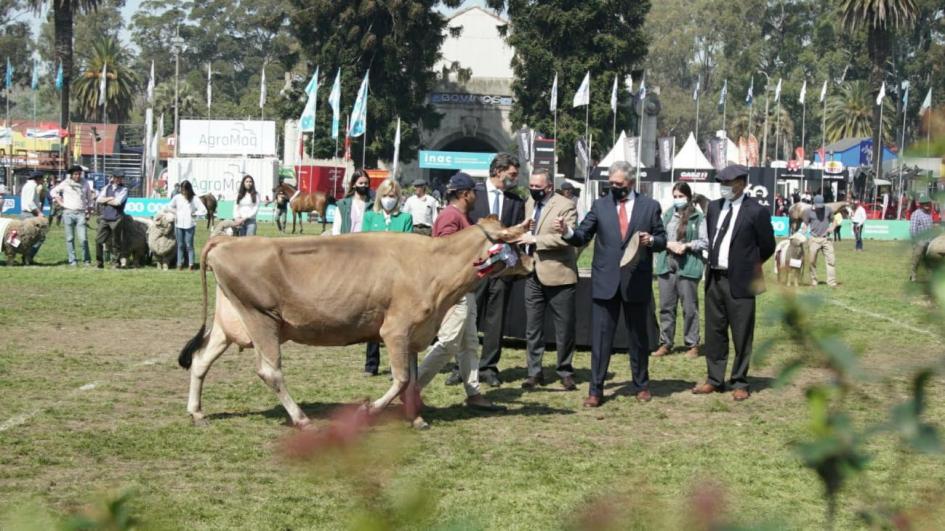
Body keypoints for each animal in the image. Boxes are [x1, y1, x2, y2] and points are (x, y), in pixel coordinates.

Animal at [177, 218, 532, 430]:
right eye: (515, 244)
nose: (531, 263)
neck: (433, 265)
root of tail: (226, 242)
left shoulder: (414, 332)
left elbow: (413, 379)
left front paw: (416, 417)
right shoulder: (395, 329)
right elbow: (402, 379)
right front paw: (369, 410)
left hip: (231, 321)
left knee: (201, 359)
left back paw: (196, 411)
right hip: (261, 317)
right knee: (269, 371)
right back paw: (301, 419)